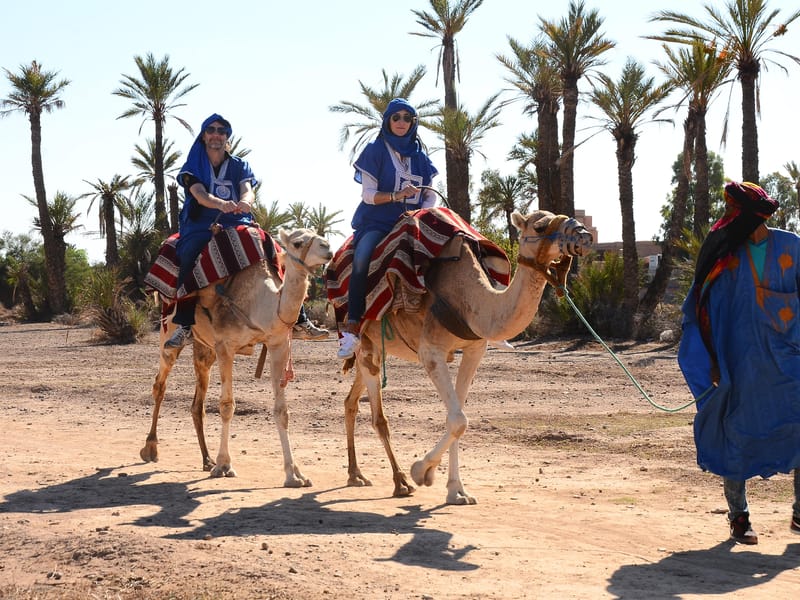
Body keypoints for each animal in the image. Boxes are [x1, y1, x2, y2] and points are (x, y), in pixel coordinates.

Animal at [140, 227, 333, 486]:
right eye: (298, 242)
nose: (327, 248)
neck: (258, 303)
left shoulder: (278, 343)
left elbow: (281, 411)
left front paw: (295, 474)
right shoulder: (225, 346)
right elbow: (226, 406)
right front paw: (224, 465)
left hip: (205, 350)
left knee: (197, 404)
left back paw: (206, 459)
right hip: (168, 334)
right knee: (160, 385)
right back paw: (151, 449)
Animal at [340, 209, 593, 504]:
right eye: (540, 226)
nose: (584, 236)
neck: (469, 298)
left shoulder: (475, 350)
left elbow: (457, 417)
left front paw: (457, 491)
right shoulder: (431, 351)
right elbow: (459, 420)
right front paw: (421, 472)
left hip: (374, 350)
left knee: (350, 402)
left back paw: (356, 474)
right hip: (365, 343)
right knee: (379, 417)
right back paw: (400, 482)